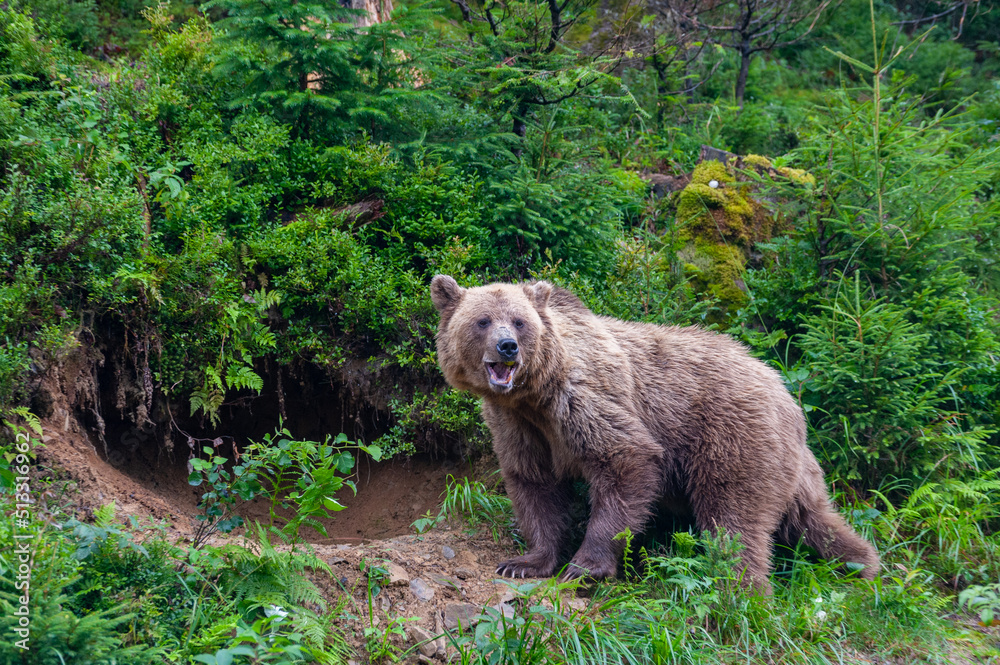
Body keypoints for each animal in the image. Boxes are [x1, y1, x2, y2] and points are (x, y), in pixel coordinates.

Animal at [430, 274, 880, 591]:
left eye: (519, 322)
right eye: (483, 320)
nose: (507, 346)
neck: (535, 395)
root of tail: (784, 392)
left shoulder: (584, 403)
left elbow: (625, 463)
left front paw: (585, 567)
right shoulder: (519, 425)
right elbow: (534, 485)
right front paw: (525, 562)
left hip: (732, 438)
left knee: (734, 519)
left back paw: (740, 590)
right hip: (793, 467)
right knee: (814, 518)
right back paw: (862, 564)